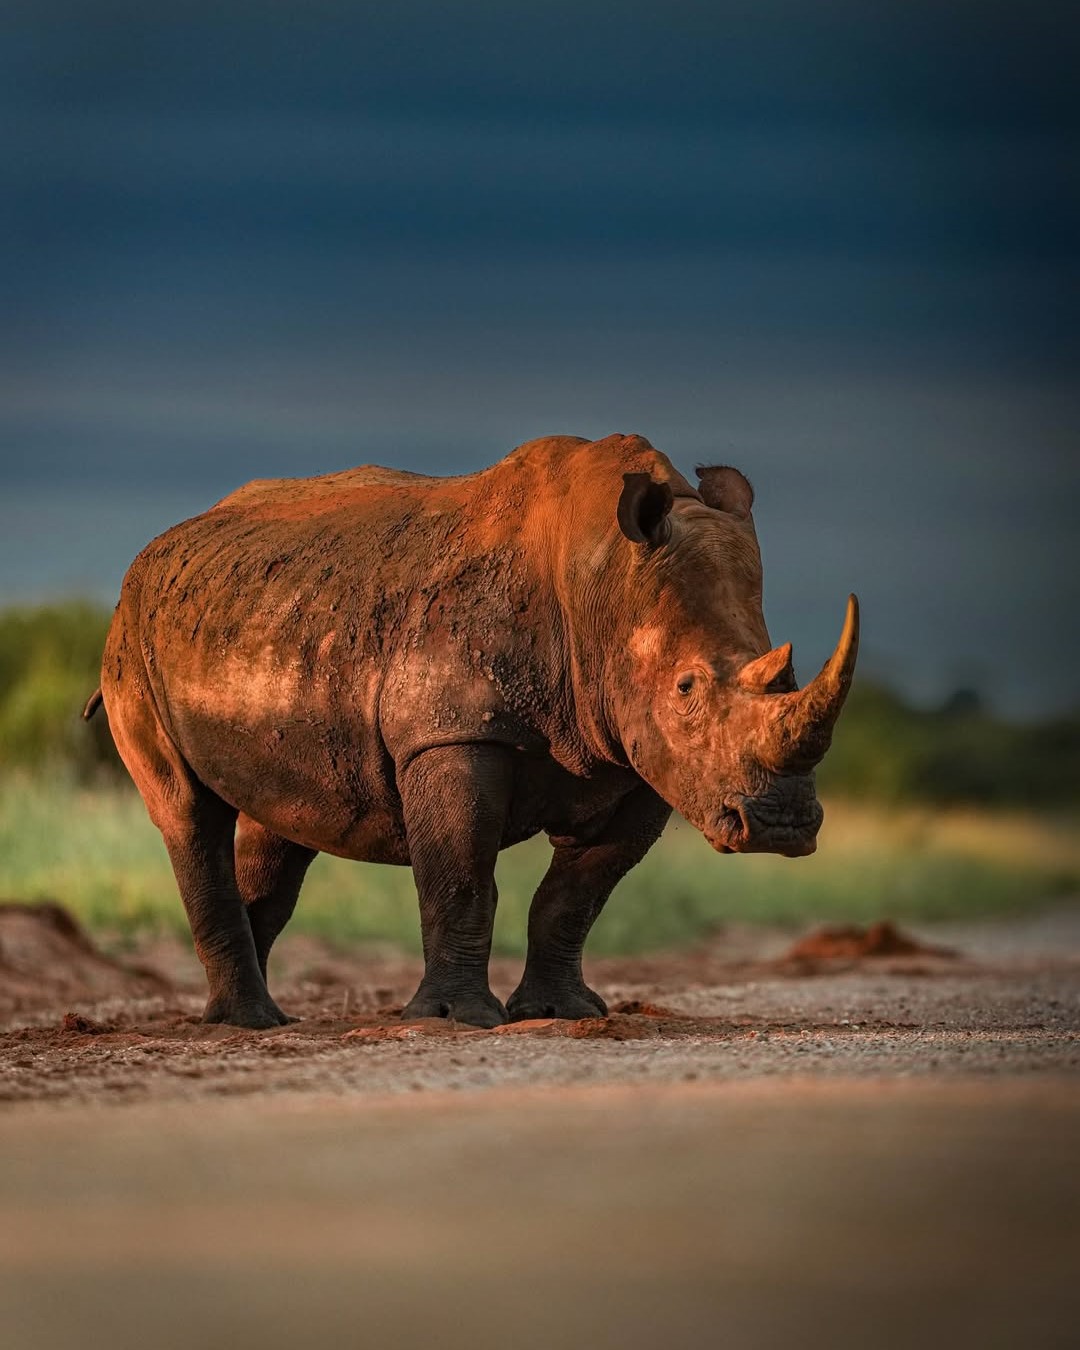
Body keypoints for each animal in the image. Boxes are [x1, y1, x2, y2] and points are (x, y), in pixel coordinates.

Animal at [86, 433, 858, 1029]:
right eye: (687, 688)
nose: (782, 826)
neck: (603, 581)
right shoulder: (454, 731)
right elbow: (460, 874)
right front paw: (457, 1020)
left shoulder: (639, 759)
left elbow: (575, 895)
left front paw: (561, 1013)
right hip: (132, 643)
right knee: (189, 815)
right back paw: (245, 1023)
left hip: (260, 618)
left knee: (281, 828)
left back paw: (263, 1018)